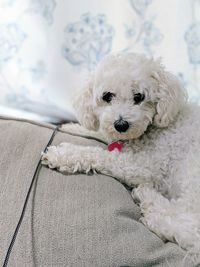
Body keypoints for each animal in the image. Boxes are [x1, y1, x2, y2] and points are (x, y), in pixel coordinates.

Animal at [42, 52, 200, 258]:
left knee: (187, 228)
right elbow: (99, 132)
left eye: (139, 96)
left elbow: (99, 155)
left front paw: (63, 154)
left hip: (192, 176)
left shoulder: (144, 167)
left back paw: (148, 199)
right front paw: (71, 126)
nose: (121, 125)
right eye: (107, 96)